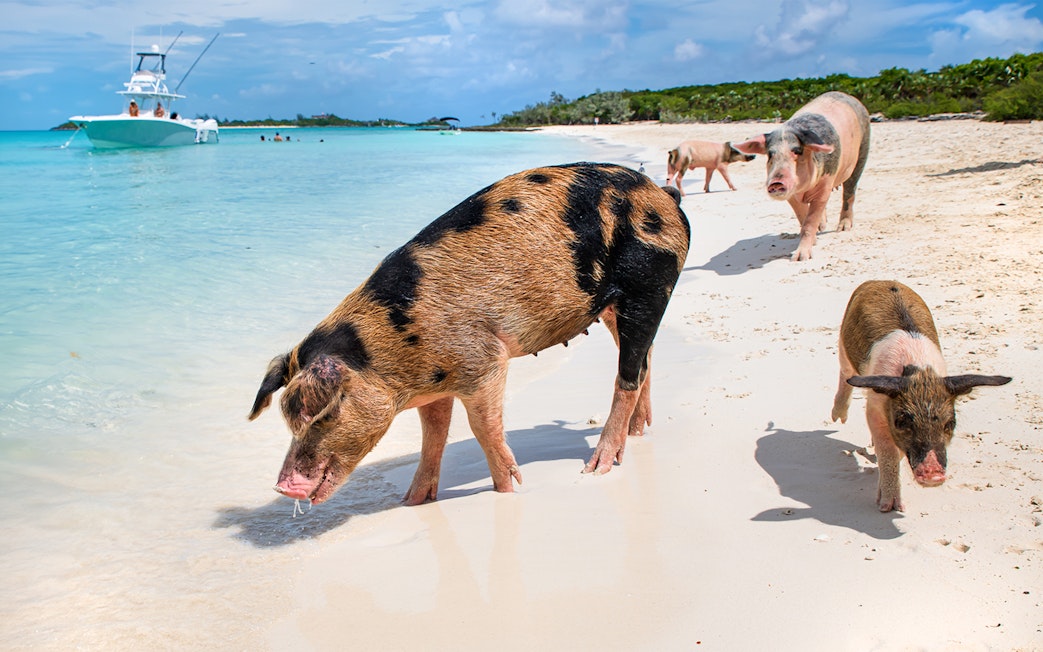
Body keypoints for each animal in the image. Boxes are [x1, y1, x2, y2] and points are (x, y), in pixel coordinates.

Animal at [249, 163, 691, 507]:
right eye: (289, 418)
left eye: (322, 413)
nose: (283, 486)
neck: (394, 351)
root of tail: (664, 196)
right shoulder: (435, 386)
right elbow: (433, 434)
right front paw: (411, 501)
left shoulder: (484, 362)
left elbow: (482, 428)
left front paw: (508, 489)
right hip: (618, 305)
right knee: (644, 359)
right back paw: (638, 432)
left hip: (650, 284)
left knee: (628, 375)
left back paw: (597, 467)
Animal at [733, 91, 870, 261]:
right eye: (770, 154)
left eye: (797, 151)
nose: (776, 182)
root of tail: (849, 97)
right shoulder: (792, 196)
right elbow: (802, 217)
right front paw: (815, 238)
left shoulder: (825, 185)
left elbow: (809, 222)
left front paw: (799, 258)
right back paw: (823, 226)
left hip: (862, 151)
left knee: (849, 192)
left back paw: (843, 228)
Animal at [830, 280, 1011, 512]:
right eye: (901, 422)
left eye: (950, 423)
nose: (933, 476)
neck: (919, 371)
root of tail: (882, 281)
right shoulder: (875, 405)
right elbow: (888, 452)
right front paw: (888, 507)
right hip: (843, 344)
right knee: (845, 373)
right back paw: (838, 419)